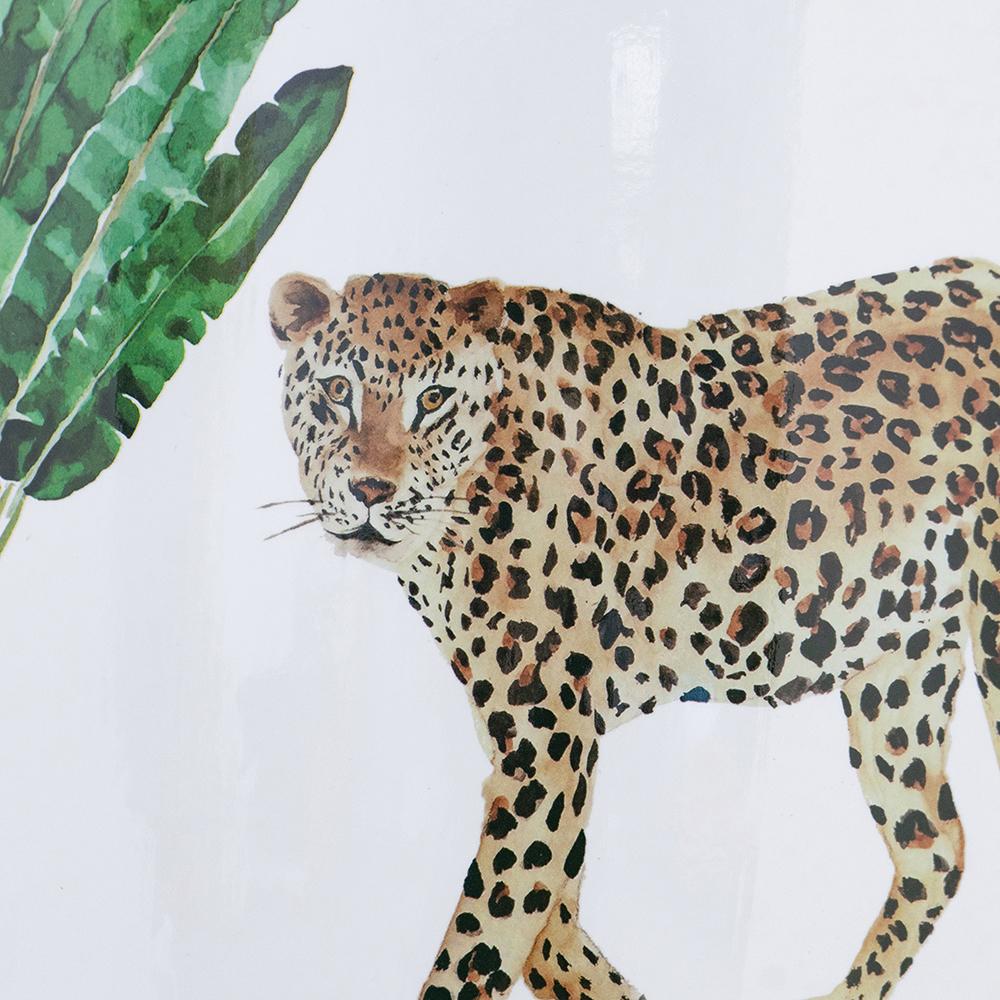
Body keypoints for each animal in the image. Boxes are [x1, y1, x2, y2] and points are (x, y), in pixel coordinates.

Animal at [267, 255, 1000, 999]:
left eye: (434, 399)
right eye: (337, 390)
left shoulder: (549, 752)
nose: (370, 490)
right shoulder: (541, 755)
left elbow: (482, 942)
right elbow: (545, 936)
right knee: (936, 848)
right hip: (899, 670)